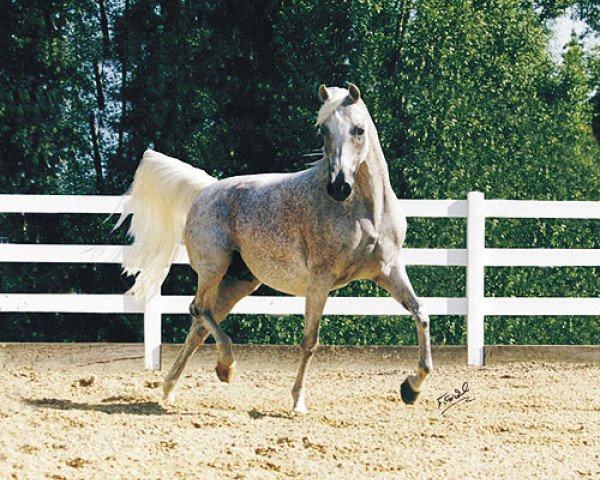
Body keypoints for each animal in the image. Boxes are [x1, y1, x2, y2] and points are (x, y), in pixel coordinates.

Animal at [117, 82, 434, 412]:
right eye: (323, 130)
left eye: (358, 130)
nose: (339, 187)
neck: (366, 211)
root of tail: (206, 190)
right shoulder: (320, 280)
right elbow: (310, 341)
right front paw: (298, 403)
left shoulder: (388, 270)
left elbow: (421, 313)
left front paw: (412, 387)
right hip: (214, 269)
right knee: (198, 309)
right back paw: (225, 366)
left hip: (239, 281)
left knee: (199, 328)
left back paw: (172, 389)